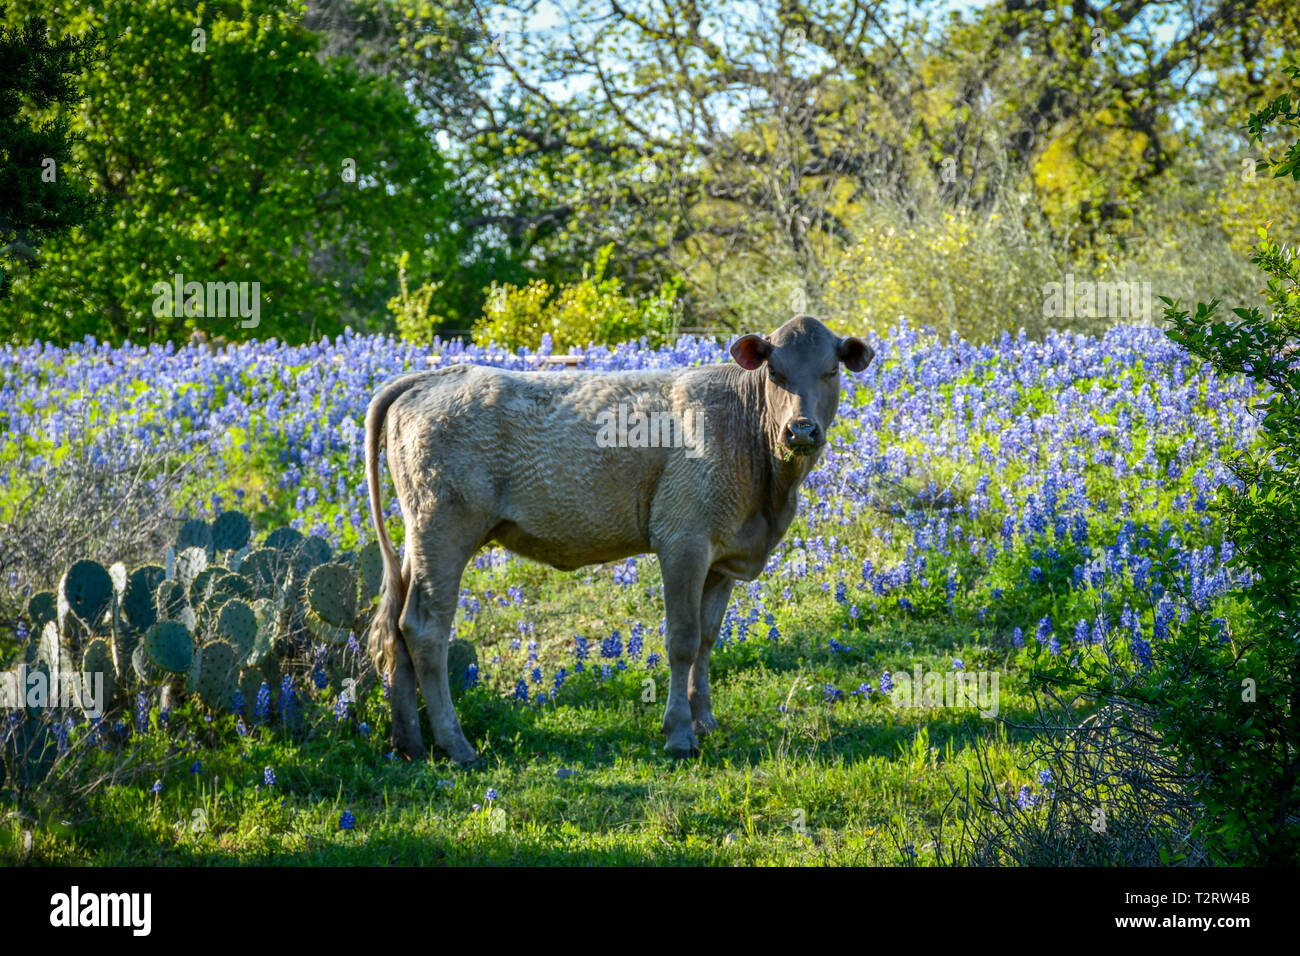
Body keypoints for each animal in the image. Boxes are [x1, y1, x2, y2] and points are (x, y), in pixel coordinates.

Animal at [364, 314, 873, 763]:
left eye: (830, 371)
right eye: (775, 372)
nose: (801, 429)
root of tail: (434, 376)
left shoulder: (723, 555)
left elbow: (708, 637)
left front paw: (705, 720)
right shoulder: (683, 541)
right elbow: (683, 638)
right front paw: (679, 734)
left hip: (418, 541)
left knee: (396, 627)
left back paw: (408, 744)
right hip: (444, 530)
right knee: (426, 628)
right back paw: (456, 746)